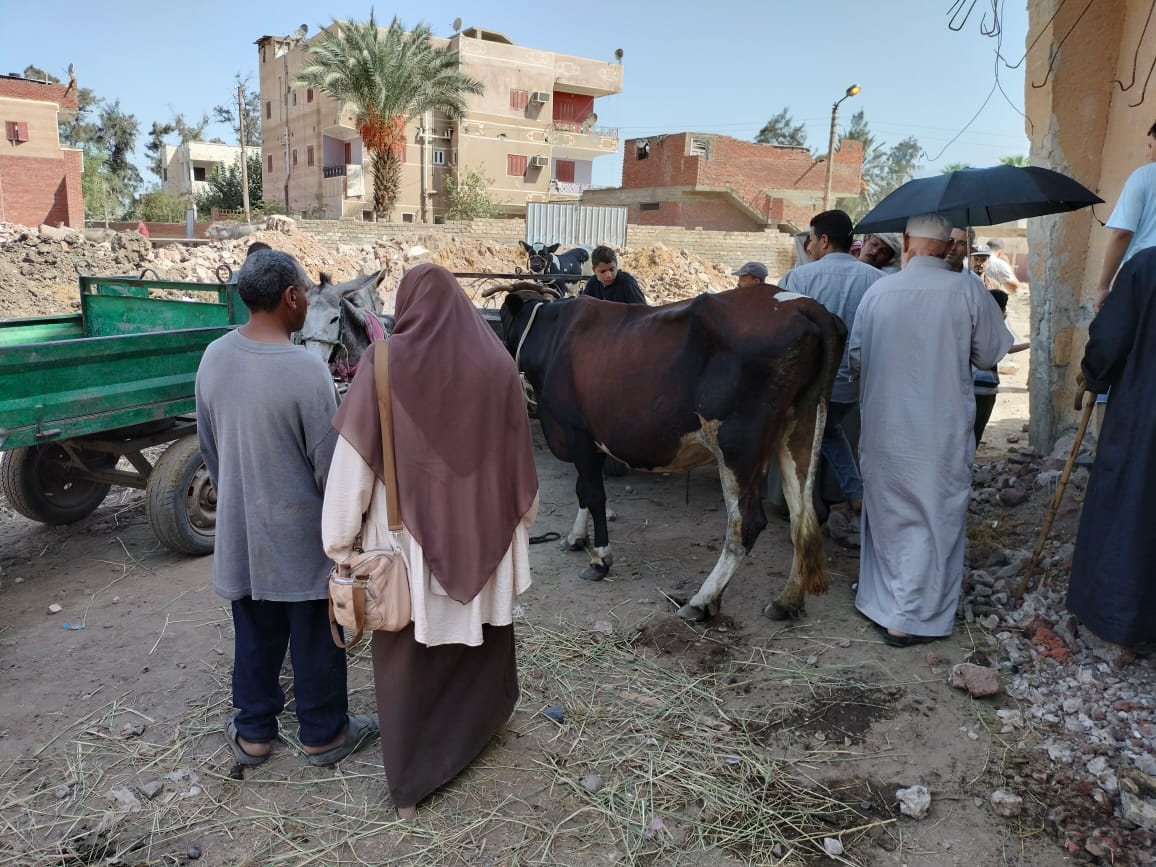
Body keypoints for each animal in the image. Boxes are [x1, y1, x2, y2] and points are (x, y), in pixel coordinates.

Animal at [499, 282, 850, 619]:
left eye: (501, 319)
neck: (555, 336)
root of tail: (803, 304)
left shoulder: (577, 432)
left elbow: (594, 495)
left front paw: (599, 559)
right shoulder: (588, 440)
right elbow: (583, 490)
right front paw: (576, 538)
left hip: (738, 445)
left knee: (747, 523)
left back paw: (701, 601)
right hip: (801, 428)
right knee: (803, 516)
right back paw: (787, 601)